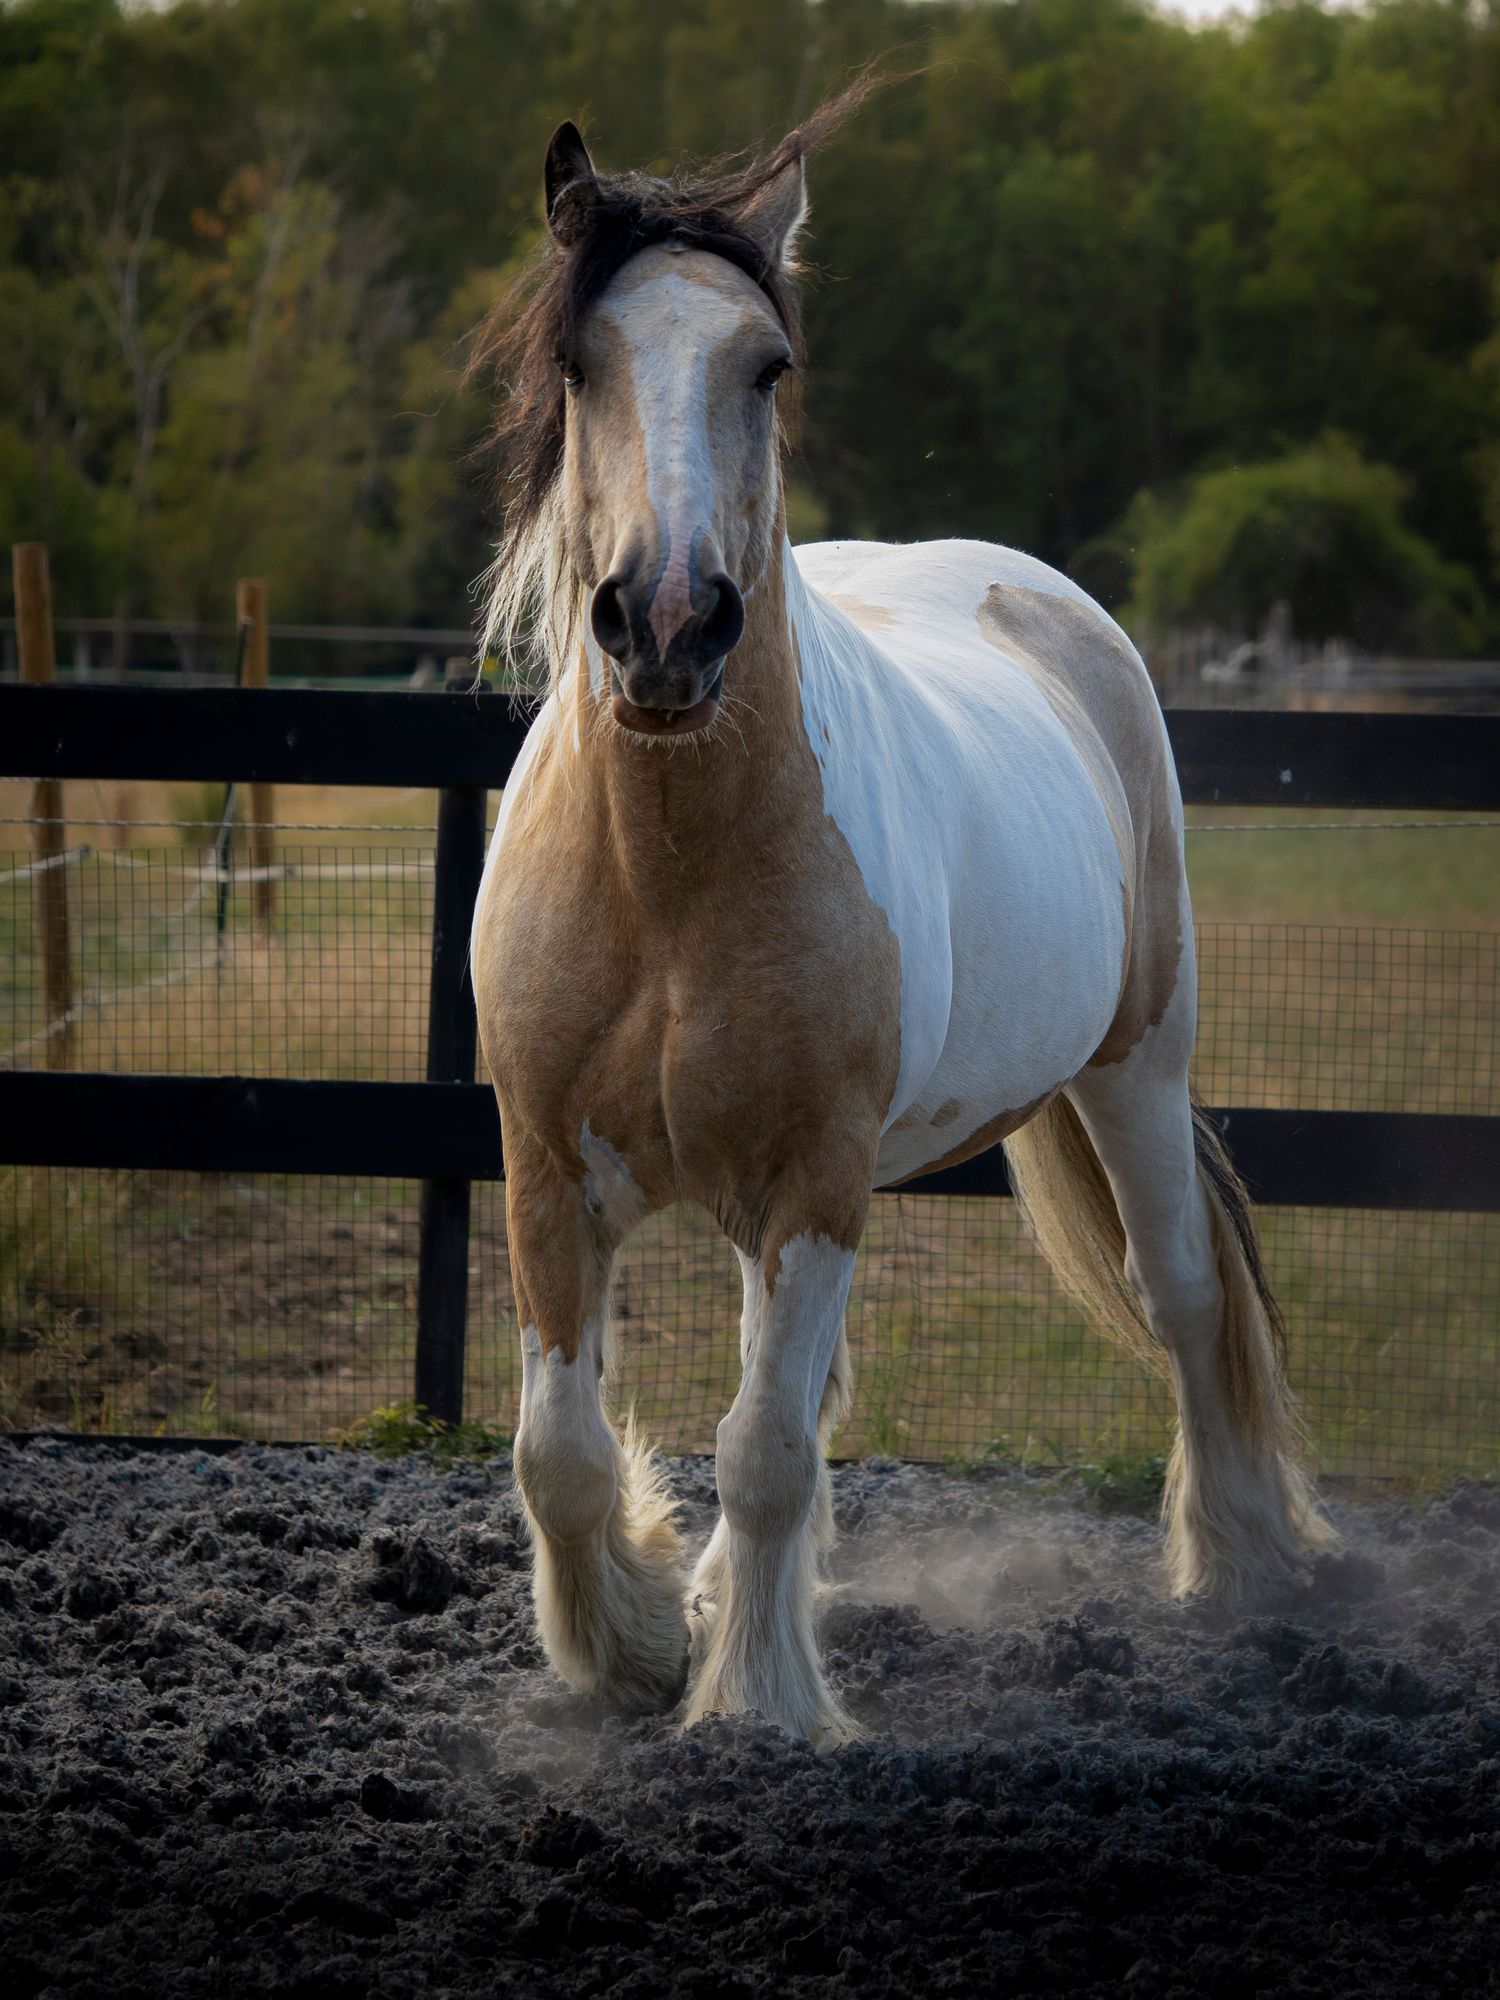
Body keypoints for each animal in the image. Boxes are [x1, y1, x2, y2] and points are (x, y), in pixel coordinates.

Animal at [469, 103, 1336, 1745]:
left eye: (766, 365)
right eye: (580, 363)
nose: (669, 623)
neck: (663, 874)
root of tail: (1047, 602)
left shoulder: (815, 1179)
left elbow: (762, 1451)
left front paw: (752, 1702)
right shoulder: (547, 1171)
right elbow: (563, 1454)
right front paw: (631, 1646)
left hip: (1137, 1067)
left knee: (1184, 1297)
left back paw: (1240, 1567)